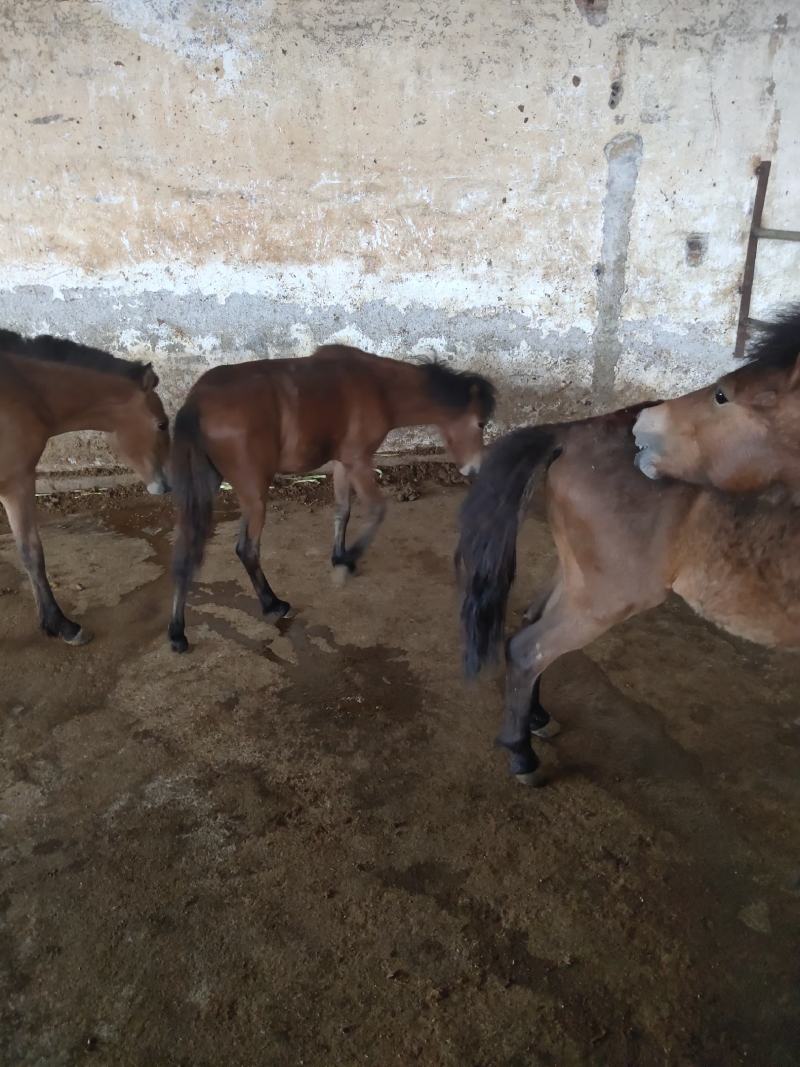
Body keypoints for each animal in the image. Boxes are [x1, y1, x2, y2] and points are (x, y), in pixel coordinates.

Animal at [0, 331, 171, 645]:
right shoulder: (17, 482)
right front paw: (62, 625)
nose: (166, 485)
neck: (25, 394)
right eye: (162, 424)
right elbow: (32, 553)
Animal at [167, 344, 495, 653]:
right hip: (254, 492)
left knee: (187, 550)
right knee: (247, 549)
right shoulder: (359, 461)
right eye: (480, 423)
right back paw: (272, 605)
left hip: (216, 489)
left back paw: (177, 633)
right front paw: (346, 563)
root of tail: (196, 403)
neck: (377, 386)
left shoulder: (342, 462)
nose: (476, 468)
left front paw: (339, 555)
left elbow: (343, 510)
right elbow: (376, 510)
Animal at [457, 310, 800, 786]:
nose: (646, 427)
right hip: (606, 599)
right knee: (529, 649)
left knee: (531, 626)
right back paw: (522, 755)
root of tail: (574, 432)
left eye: (721, 396)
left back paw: (537, 719)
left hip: (578, 578)